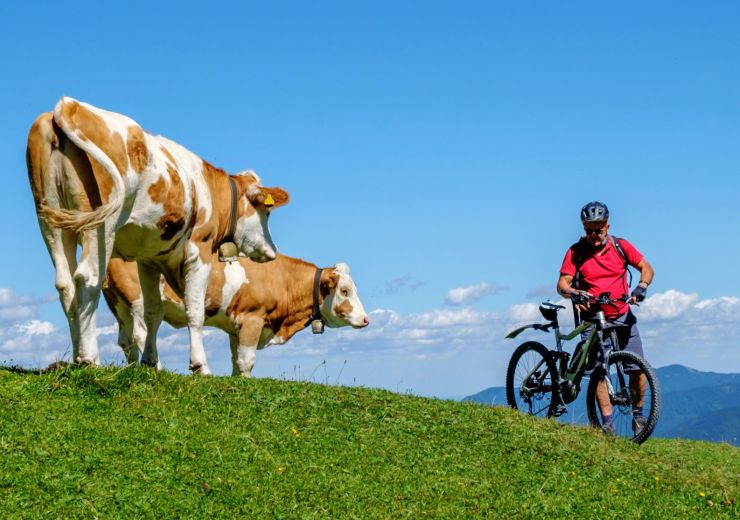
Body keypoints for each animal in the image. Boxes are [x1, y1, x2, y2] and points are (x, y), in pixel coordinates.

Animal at [26, 97, 288, 374]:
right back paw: (90, 358)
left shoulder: (149, 259)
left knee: (65, 284)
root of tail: (70, 105)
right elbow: (195, 309)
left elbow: (153, 310)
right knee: (87, 279)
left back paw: (77, 357)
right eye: (266, 212)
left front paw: (150, 361)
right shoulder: (199, 250)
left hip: (50, 221)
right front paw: (200, 366)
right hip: (100, 226)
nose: (272, 251)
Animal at [102, 254, 368, 376]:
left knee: (125, 339)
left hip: (119, 305)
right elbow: (247, 360)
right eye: (345, 290)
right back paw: (158, 367)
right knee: (143, 332)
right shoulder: (253, 319)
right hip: (138, 301)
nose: (366, 319)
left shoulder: (235, 326)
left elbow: (236, 360)